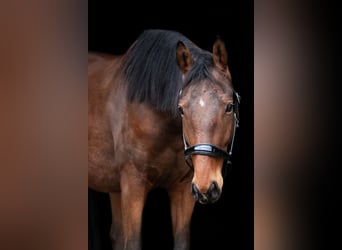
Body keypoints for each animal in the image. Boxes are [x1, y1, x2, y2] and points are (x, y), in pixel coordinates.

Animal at [88, 29, 240, 250]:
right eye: (181, 109)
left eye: (229, 107)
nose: (206, 186)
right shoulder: (133, 185)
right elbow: (132, 241)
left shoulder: (183, 189)